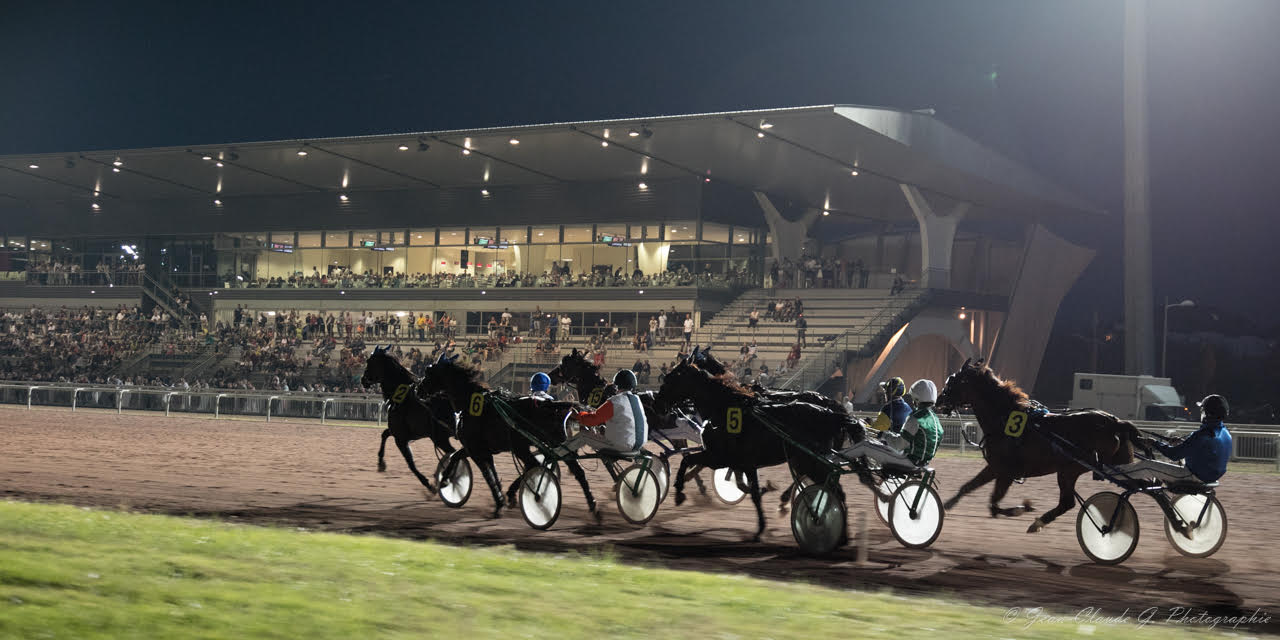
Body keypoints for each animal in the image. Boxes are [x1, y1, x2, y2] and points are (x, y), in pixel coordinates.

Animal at [363, 348, 458, 491]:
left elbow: (410, 463)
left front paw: (427, 483)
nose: (363, 380)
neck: (404, 398)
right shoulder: (403, 433)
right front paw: (380, 462)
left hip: (440, 439)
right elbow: (384, 434)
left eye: (369, 362)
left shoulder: (400, 438)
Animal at [417, 355, 601, 519]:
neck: (470, 403)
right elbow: (464, 459)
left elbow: (486, 474)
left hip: (521, 446)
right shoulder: (479, 448)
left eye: (428, 372)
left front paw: (498, 504)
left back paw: (531, 497)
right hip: (556, 443)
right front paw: (446, 480)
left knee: (533, 465)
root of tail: (551, 404)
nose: (417, 389)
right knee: (576, 470)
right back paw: (592, 506)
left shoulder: (476, 448)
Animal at [660, 358, 860, 542]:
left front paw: (679, 491)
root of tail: (831, 413)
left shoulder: (719, 457)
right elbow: (750, 490)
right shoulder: (743, 463)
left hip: (810, 461)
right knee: (833, 489)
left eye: (670, 377)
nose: (658, 403)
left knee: (832, 489)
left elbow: (688, 460)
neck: (724, 409)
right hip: (807, 460)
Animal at [931, 358, 1141, 532]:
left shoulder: (1006, 472)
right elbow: (968, 487)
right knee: (1067, 503)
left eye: (952, 381)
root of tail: (1114, 422)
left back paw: (1038, 522)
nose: (938, 401)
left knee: (1067, 503)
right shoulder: (995, 467)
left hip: (1069, 470)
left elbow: (994, 505)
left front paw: (1021, 508)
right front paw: (946, 506)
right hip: (1073, 470)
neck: (1003, 419)